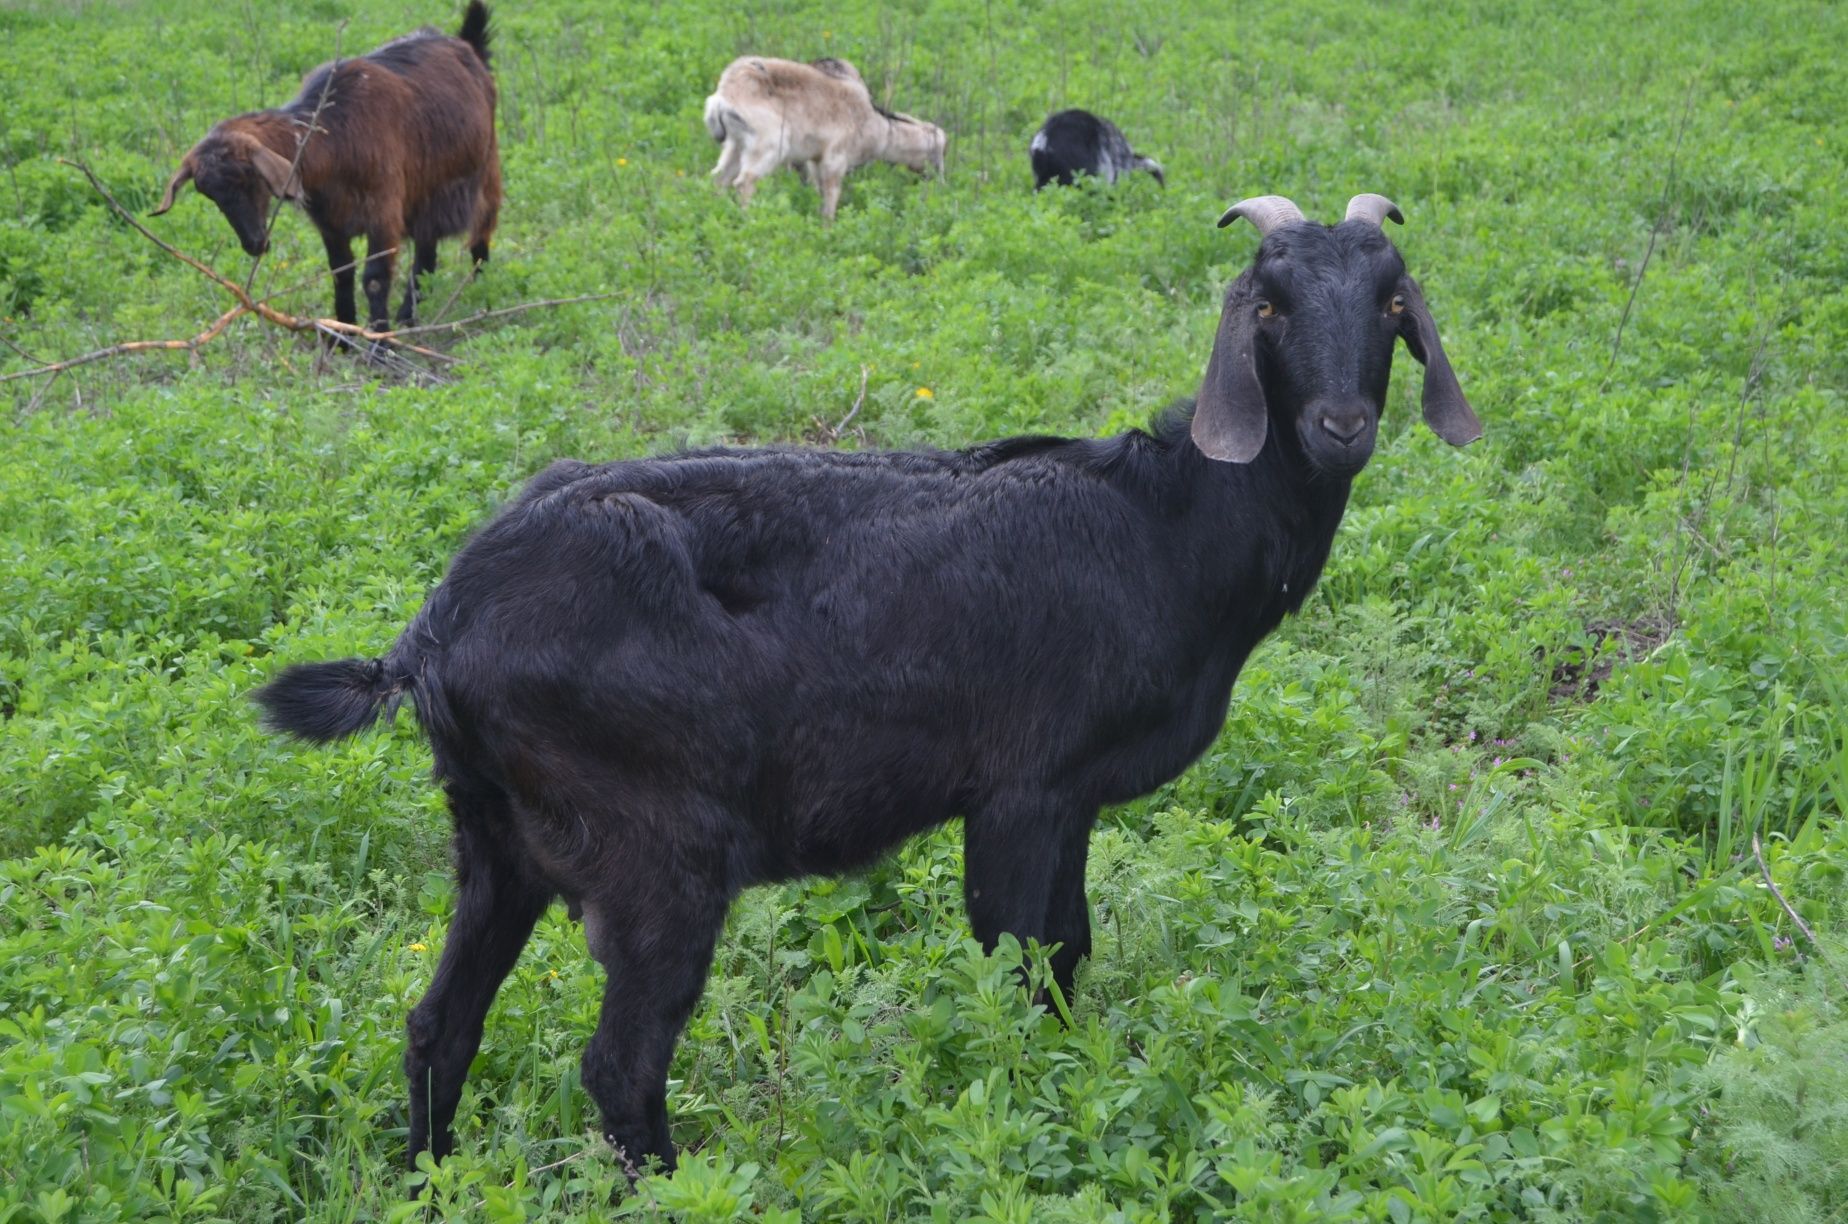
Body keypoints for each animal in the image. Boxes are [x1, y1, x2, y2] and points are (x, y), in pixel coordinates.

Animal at [253, 189, 1478, 1183]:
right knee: (619, 1064)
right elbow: (1019, 965)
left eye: (1390, 303)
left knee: (437, 1027)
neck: (1166, 523)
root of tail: (436, 630)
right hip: (658, 850)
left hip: (498, 839)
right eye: (1266, 307)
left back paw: (427, 1183)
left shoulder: (1074, 798)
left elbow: (1071, 955)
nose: (1340, 426)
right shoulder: (1021, 790)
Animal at [702, 56, 946, 222]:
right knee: (744, 183)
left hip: (735, 146)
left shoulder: (814, 160)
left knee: (719, 180)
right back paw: (749, 221)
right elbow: (830, 196)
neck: (876, 124)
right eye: (940, 151)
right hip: (767, 147)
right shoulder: (834, 160)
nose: (939, 181)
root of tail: (722, 98)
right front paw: (828, 230)